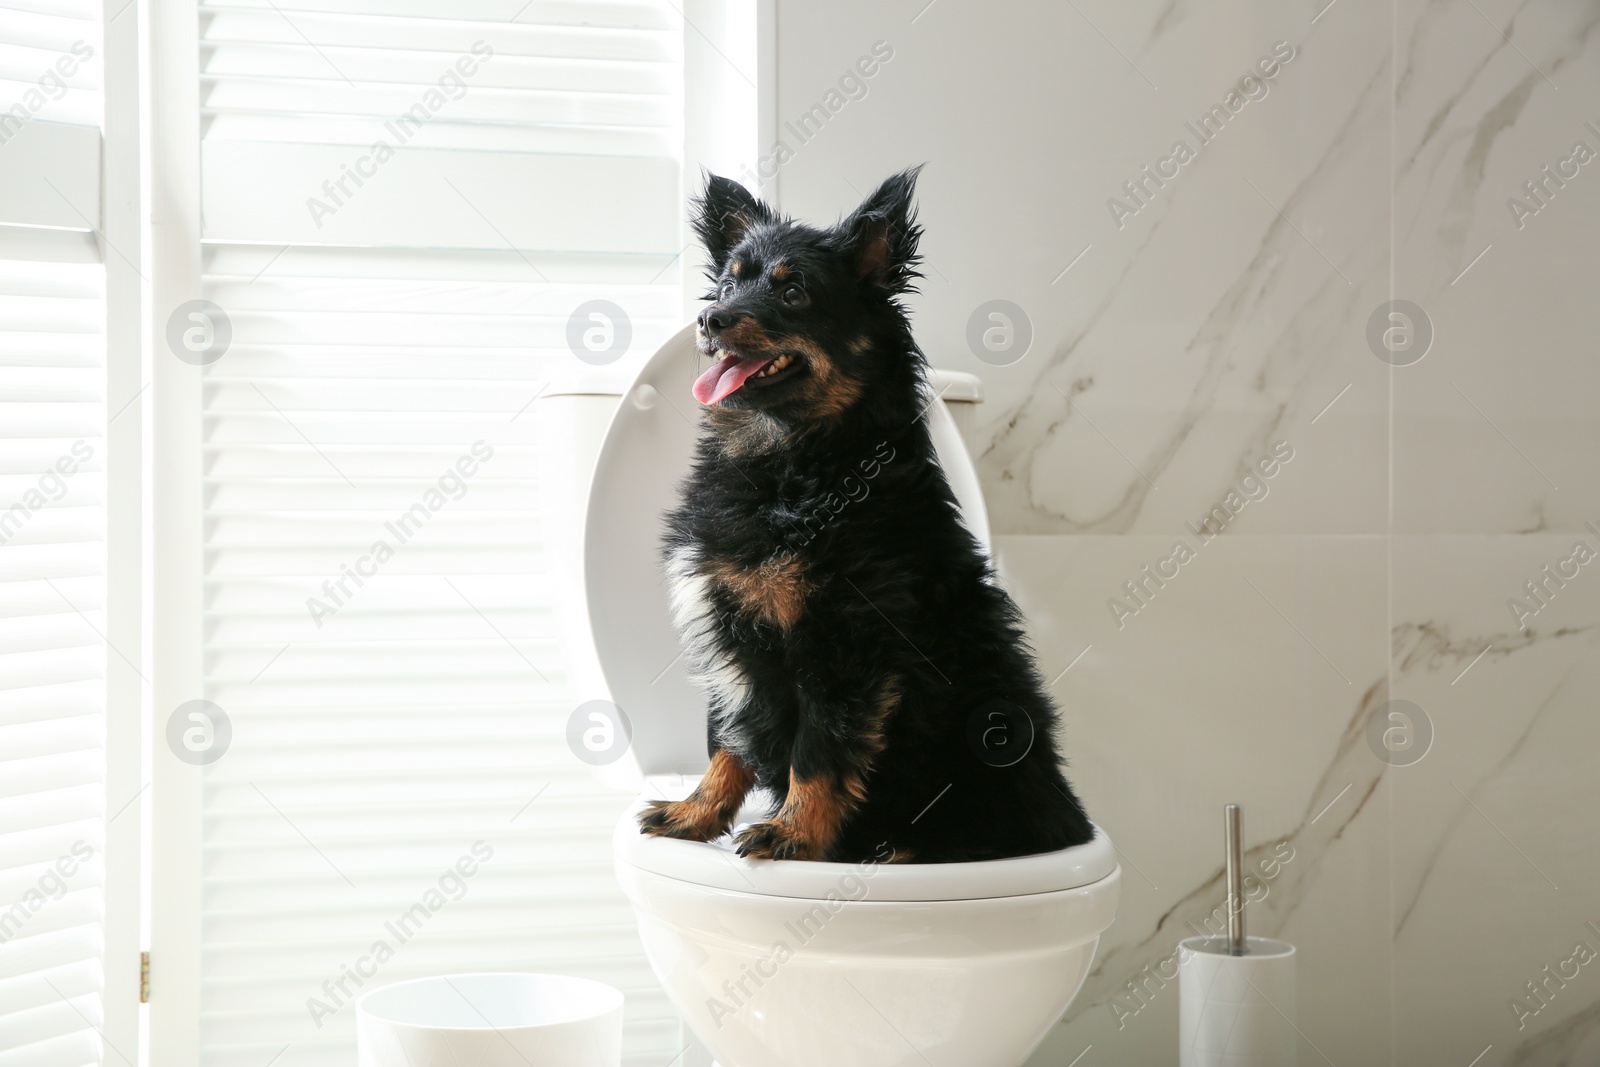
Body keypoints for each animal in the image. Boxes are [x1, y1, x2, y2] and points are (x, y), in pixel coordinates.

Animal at [633, 168, 1088, 870]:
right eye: (730, 281)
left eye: (793, 292)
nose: (709, 318)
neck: (799, 461)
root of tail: (1072, 826)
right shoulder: (733, 629)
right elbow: (726, 739)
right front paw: (697, 814)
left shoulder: (845, 645)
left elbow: (819, 753)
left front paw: (792, 834)